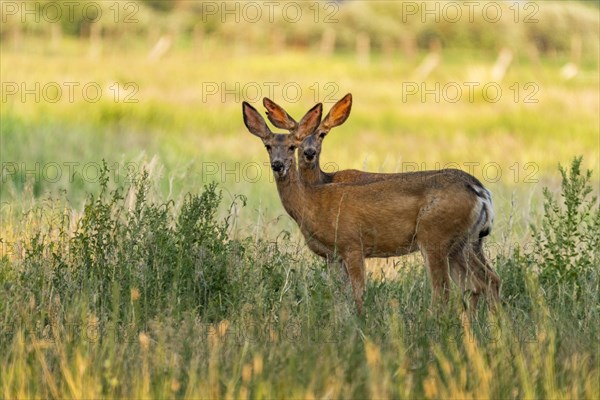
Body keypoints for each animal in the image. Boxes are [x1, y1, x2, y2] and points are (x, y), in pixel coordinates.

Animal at [244, 101, 502, 316]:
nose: (278, 165)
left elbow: (359, 293)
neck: (311, 201)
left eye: (291, 146)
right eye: (268, 146)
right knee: (486, 281)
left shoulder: (352, 244)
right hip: (463, 243)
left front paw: (361, 322)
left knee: (445, 290)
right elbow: (336, 295)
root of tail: (480, 191)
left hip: (435, 236)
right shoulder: (332, 255)